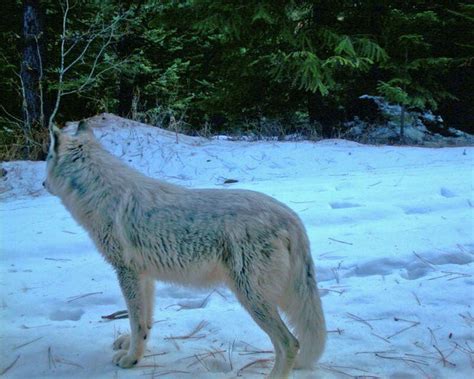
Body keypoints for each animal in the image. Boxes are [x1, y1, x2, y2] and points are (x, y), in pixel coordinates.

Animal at [44, 121, 326, 379]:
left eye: (46, 157)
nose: (43, 184)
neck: (101, 194)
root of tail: (291, 218)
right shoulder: (145, 276)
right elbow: (144, 323)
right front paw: (133, 348)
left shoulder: (127, 273)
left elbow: (136, 322)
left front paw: (131, 360)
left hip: (252, 298)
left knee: (290, 343)